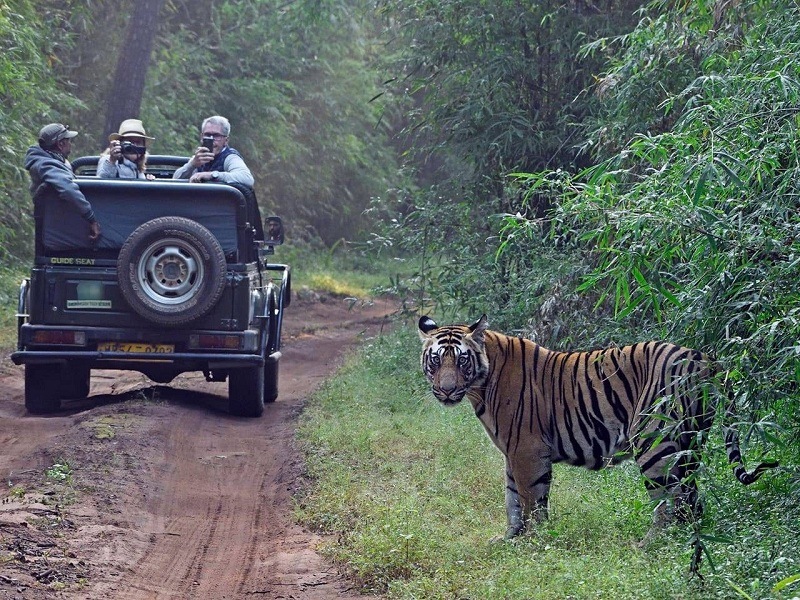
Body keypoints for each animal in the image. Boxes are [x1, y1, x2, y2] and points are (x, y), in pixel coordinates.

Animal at [418, 314, 778, 541]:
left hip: (655, 440)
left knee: (670, 503)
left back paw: (649, 545)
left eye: (461, 359)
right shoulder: (511, 452)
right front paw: (509, 539)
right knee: (691, 501)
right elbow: (512, 501)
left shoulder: (526, 450)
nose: (446, 390)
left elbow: (531, 500)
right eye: (436, 359)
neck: (481, 384)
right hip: (690, 443)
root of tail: (704, 359)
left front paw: (533, 542)